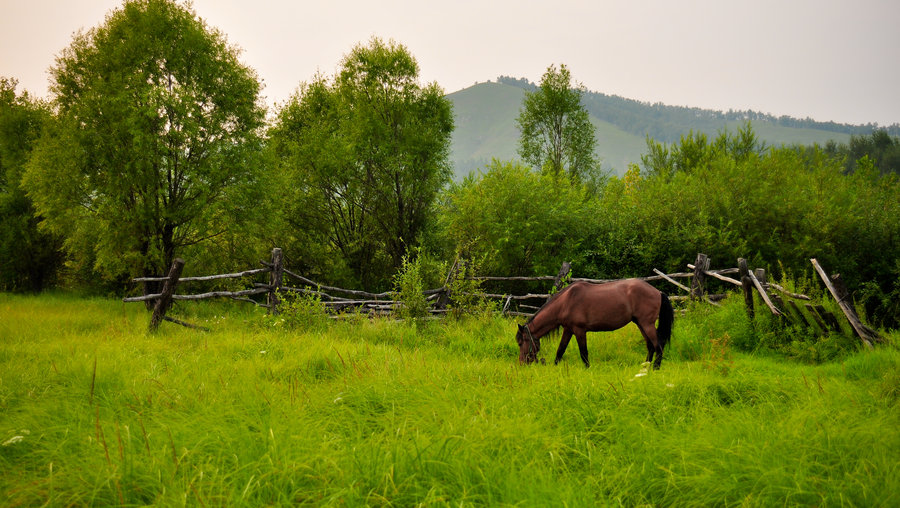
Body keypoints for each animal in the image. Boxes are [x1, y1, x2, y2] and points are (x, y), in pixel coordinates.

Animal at [516, 278, 672, 370]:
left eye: (520, 342)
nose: (522, 364)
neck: (566, 301)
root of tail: (658, 292)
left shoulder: (579, 330)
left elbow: (583, 352)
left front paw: (587, 369)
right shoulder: (568, 329)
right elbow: (560, 350)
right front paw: (555, 367)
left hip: (647, 324)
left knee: (658, 345)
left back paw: (655, 368)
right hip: (640, 323)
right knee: (650, 346)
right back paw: (645, 367)